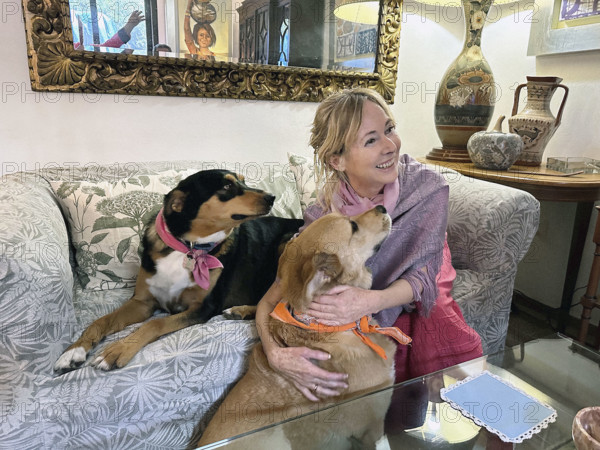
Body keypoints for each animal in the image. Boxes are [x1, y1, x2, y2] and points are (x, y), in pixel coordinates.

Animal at [54, 169, 302, 372]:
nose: (272, 197)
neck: (188, 247)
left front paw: (117, 350)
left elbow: (155, 323)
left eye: (243, 181)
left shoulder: (202, 308)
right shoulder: (142, 302)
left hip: (289, 242)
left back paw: (239, 310)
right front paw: (74, 350)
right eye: (226, 186)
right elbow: (101, 321)